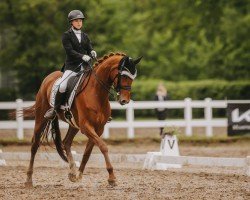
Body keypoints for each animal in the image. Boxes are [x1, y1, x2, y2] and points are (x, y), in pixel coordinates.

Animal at [23, 52, 143, 187]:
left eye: (133, 77)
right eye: (123, 75)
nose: (124, 100)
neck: (96, 93)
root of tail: (48, 78)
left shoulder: (98, 128)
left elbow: (87, 152)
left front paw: (79, 175)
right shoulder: (86, 127)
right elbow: (103, 147)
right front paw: (112, 177)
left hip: (74, 124)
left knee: (66, 142)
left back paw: (72, 172)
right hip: (40, 118)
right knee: (35, 144)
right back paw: (29, 180)